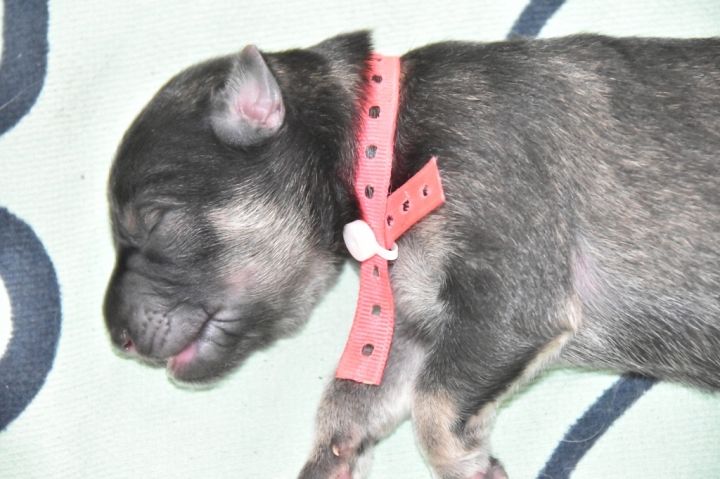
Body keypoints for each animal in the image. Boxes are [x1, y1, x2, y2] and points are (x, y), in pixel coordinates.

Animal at [104, 32, 720, 478]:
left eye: (154, 221)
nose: (118, 338)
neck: (380, 139)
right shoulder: (416, 330)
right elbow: (352, 400)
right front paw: (331, 459)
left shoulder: (508, 304)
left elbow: (435, 406)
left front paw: (471, 467)